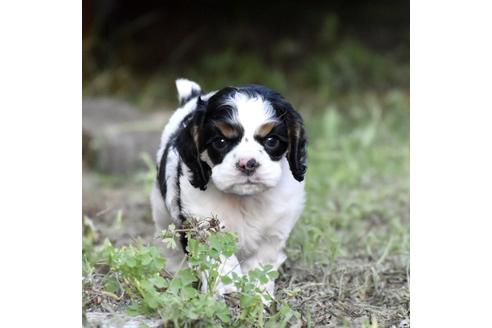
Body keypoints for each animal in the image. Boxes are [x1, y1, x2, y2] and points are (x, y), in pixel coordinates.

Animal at [150, 78, 306, 296]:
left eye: (271, 140)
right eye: (221, 141)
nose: (247, 163)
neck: (244, 200)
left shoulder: (275, 230)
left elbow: (262, 260)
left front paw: (258, 292)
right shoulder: (202, 225)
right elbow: (219, 256)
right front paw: (227, 289)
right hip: (161, 209)